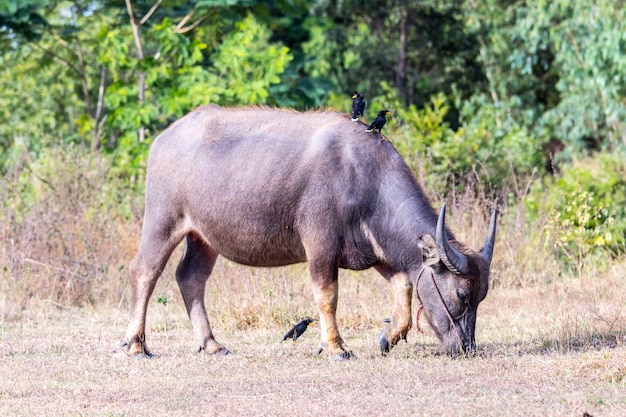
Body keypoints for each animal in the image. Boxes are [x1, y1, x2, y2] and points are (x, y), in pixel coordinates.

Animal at [119, 104, 494, 358]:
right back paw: (136, 345)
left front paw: (389, 337)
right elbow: (327, 296)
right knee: (145, 272)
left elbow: (404, 284)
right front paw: (336, 347)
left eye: (481, 297)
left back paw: (211, 344)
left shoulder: (376, 251)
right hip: (163, 219)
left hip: (203, 236)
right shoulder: (320, 245)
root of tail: (163, 139)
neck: (363, 177)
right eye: (462, 294)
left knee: (191, 277)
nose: (467, 347)